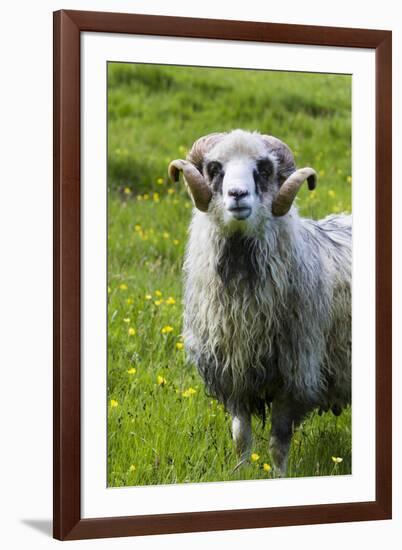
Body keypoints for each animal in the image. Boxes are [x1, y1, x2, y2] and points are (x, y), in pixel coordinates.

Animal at [168, 130, 350, 478]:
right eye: (214, 168)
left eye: (263, 169)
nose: (238, 194)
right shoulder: (233, 374)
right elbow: (241, 437)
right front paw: (239, 473)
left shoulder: (295, 378)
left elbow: (278, 444)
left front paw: (279, 477)